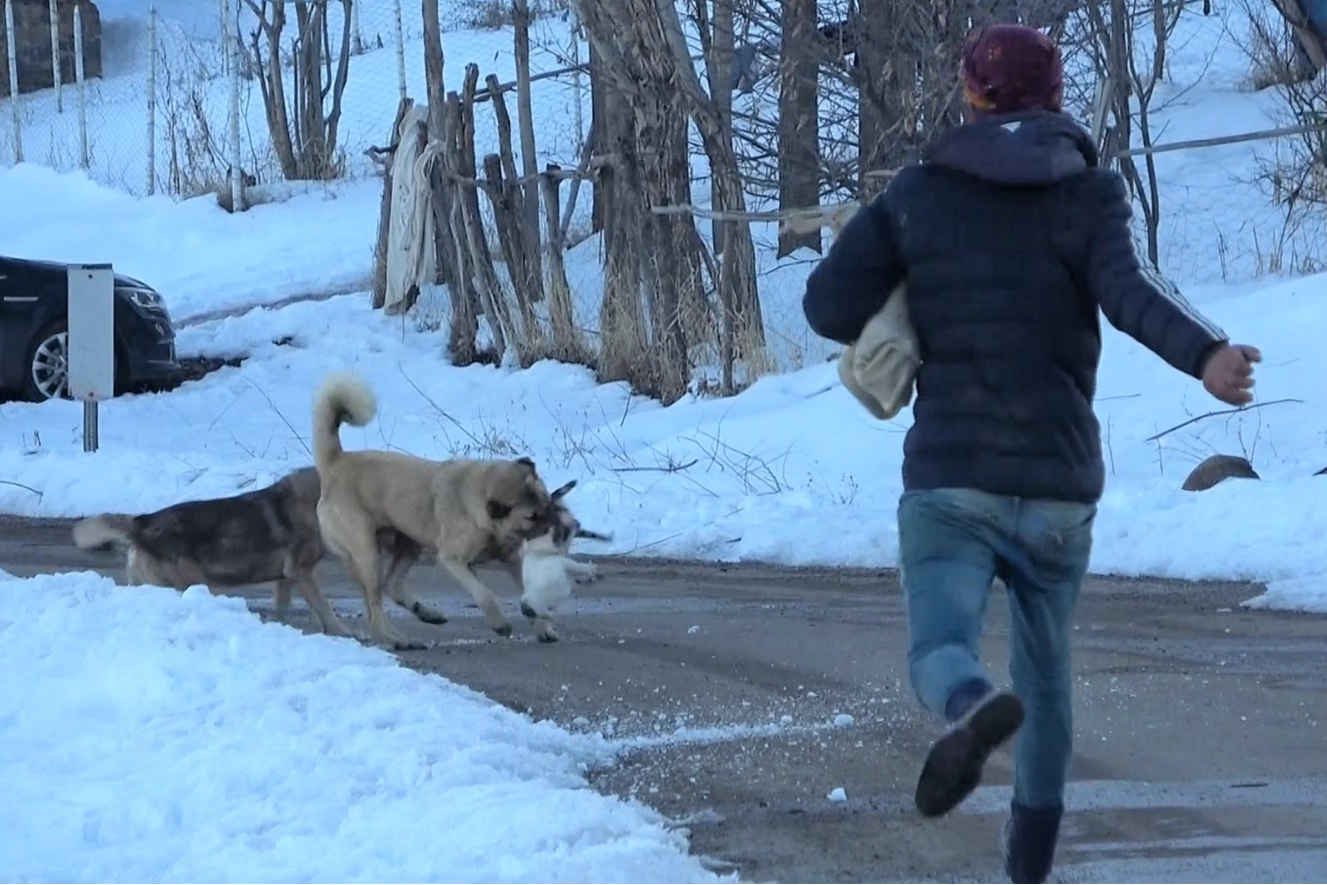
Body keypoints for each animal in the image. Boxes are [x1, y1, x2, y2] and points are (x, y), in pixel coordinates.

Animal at [310, 374, 554, 650]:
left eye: (548, 501)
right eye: (532, 516)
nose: (560, 528)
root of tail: (335, 461)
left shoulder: (511, 559)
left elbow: (530, 595)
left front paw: (544, 628)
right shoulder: (452, 560)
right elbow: (484, 593)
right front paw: (500, 623)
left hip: (408, 545)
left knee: (391, 587)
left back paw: (426, 614)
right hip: (367, 553)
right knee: (375, 606)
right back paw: (398, 639)